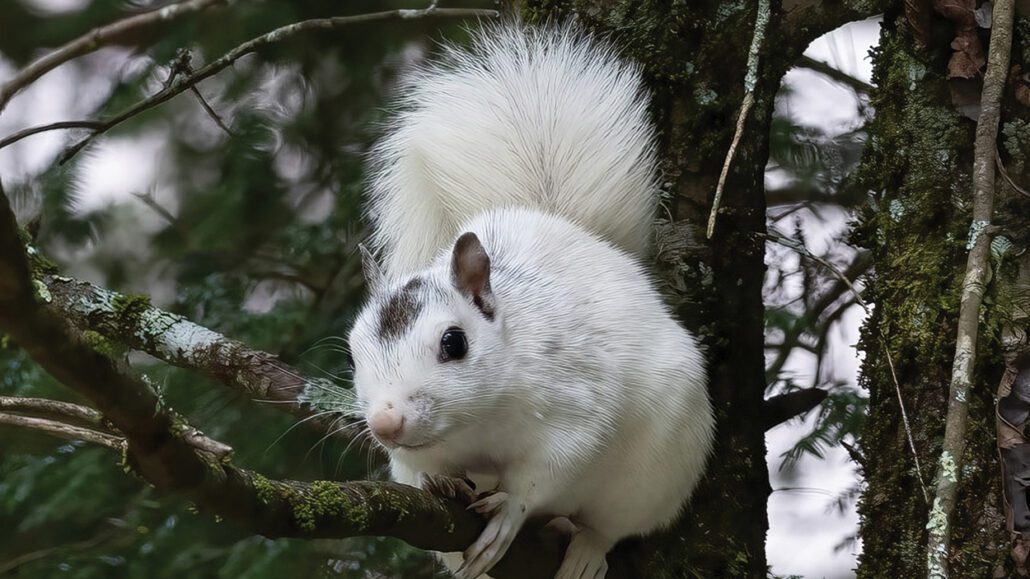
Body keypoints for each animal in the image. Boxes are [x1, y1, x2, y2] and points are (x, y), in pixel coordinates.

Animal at [346, 20, 715, 579]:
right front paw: (441, 483)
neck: (475, 425)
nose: (386, 423)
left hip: (653, 474)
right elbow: (424, 466)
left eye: (454, 343)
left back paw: (583, 548)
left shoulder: (576, 402)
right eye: (354, 354)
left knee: (610, 525)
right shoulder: (416, 455)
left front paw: (510, 513)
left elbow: (548, 470)